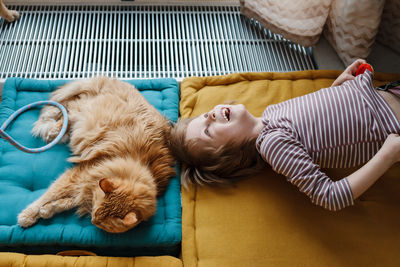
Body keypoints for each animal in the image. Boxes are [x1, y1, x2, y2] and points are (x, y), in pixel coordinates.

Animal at [17, 77, 176, 234]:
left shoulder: (85, 186)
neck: (138, 166)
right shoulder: (79, 176)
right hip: (81, 109)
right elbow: (47, 196)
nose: (93, 221)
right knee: (67, 109)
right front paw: (27, 216)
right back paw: (55, 132)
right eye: (97, 216)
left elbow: (68, 202)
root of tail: (108, 78)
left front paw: (47, 210)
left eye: (101, 221)